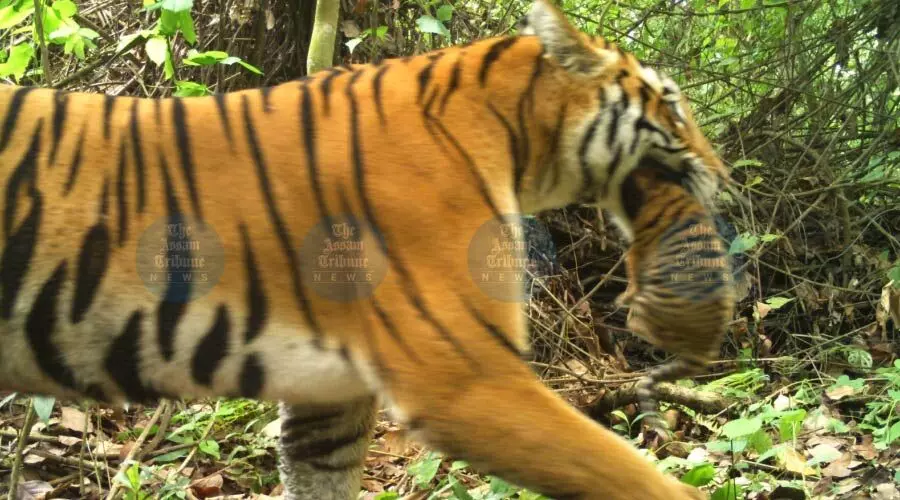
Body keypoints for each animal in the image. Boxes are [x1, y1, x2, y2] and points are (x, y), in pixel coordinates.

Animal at [613, 164, 735, 434]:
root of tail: (704, 349)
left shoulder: (637, 250)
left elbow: (631, 272)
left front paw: (622, 297)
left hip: (656, 299)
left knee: (640, 322)